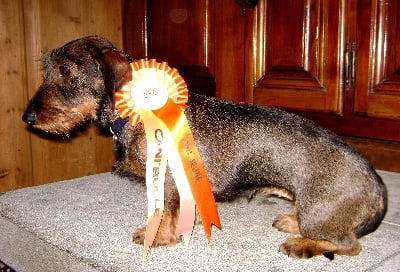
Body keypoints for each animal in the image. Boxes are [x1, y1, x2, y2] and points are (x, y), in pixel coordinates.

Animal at [22, 36, 388, 260]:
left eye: (65, 69)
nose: (27, 117)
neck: (138, 113)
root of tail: (377, 185)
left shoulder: (167, 182)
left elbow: (165, 214)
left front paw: (159, 237)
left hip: (319, 215)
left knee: (349, 245)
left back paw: (302, 244)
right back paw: (291, 222)